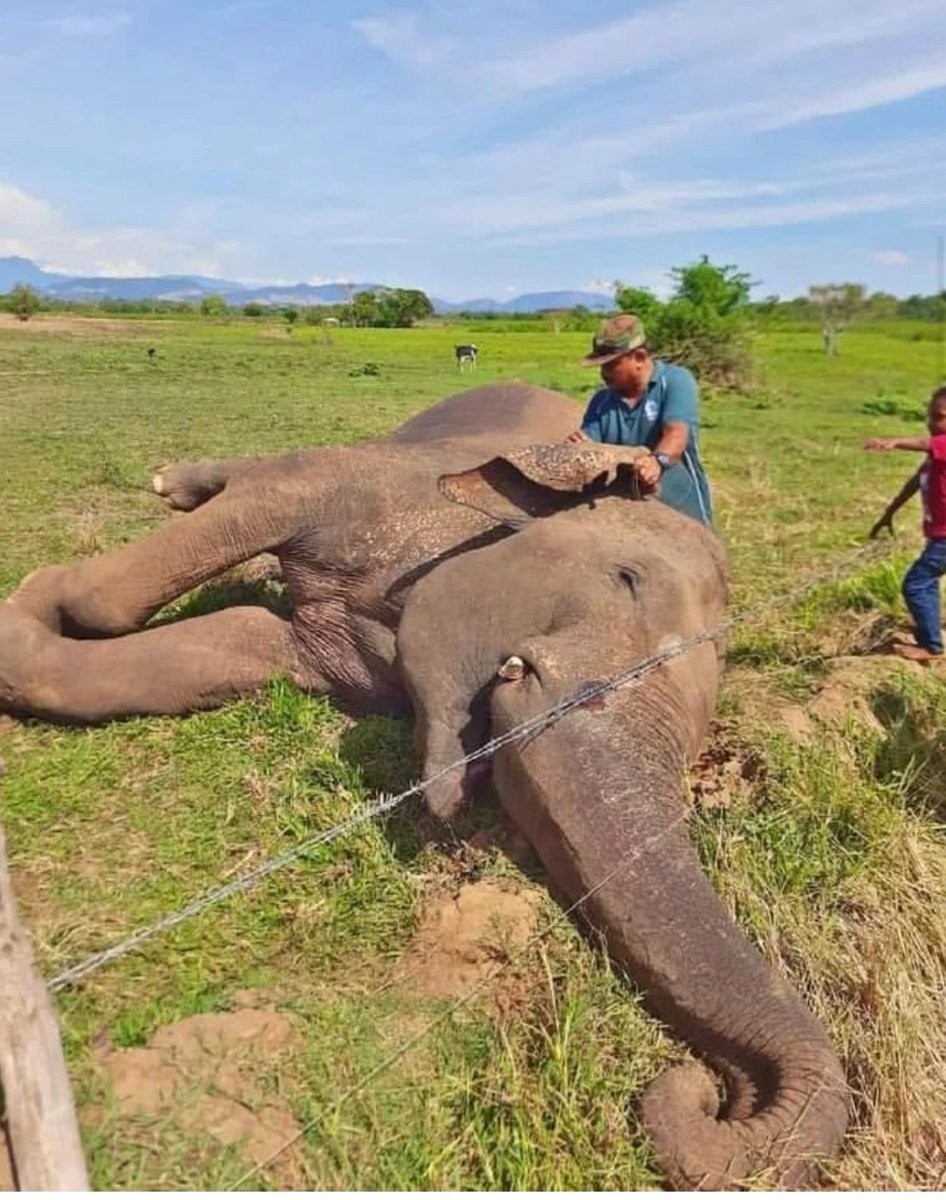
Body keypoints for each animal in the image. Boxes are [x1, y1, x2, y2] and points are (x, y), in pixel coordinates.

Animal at [0, 382, 848, 1188]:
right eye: (627, 579)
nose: (698, 1093)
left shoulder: (332, 658)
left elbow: (241, 641)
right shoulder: (368, 484)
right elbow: (247, 516)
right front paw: (36, 597)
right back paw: (173, 482)